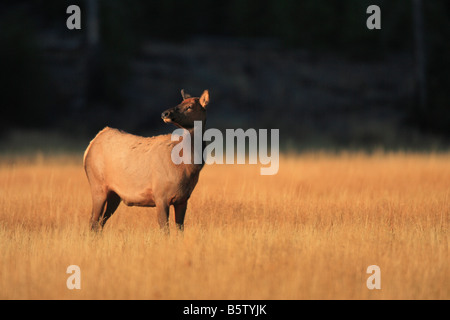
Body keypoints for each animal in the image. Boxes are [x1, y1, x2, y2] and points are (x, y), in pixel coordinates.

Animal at [83, 89, 210, 232]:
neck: (187, 166)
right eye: (180, 102)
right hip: (97, 185)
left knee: (100, 223)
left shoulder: (183, 199)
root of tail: (91, 145)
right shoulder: (160, 196)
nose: (165, 113)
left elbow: (180, 229)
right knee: (93, 222)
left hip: (114, 194)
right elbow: (165, 230)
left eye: (189, 106)